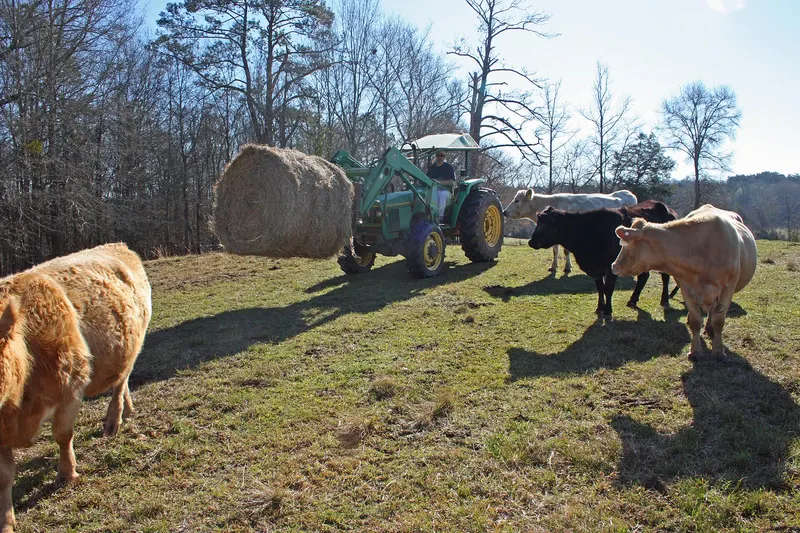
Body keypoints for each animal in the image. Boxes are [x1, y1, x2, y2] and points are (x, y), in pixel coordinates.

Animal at [0, 243, 151, 533]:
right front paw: (6, 521)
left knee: (121, 381)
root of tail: (119, 246)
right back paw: (128, 411)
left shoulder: (71, 390)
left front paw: (67, 474)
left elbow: (63, 435)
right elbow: (4, 474)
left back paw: (113, 421)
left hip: (135, 340)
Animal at [503, 189, 638, 274]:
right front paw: (553, 266)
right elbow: (555, 250)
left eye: (517, 200)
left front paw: (567, 268)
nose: (504, 212)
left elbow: (566, 251)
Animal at [528, 201, 678, 318]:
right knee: (643, 276)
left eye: (544, 225)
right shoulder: (594, 269)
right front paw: (600, 308)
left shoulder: (611, 266)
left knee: (665, 276)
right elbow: (600, 288)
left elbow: (608, 288)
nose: (530, 242)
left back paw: (665, 300)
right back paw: (633, 300)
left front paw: (608, 311)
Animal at [612, 204, 757, 361]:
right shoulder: (686, 288)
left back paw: (710, 328)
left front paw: (718, 351)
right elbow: (696, 321)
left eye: (626, 245)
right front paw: (695, 351)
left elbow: (719, 321)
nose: (614, 266)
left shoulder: (727, 289)